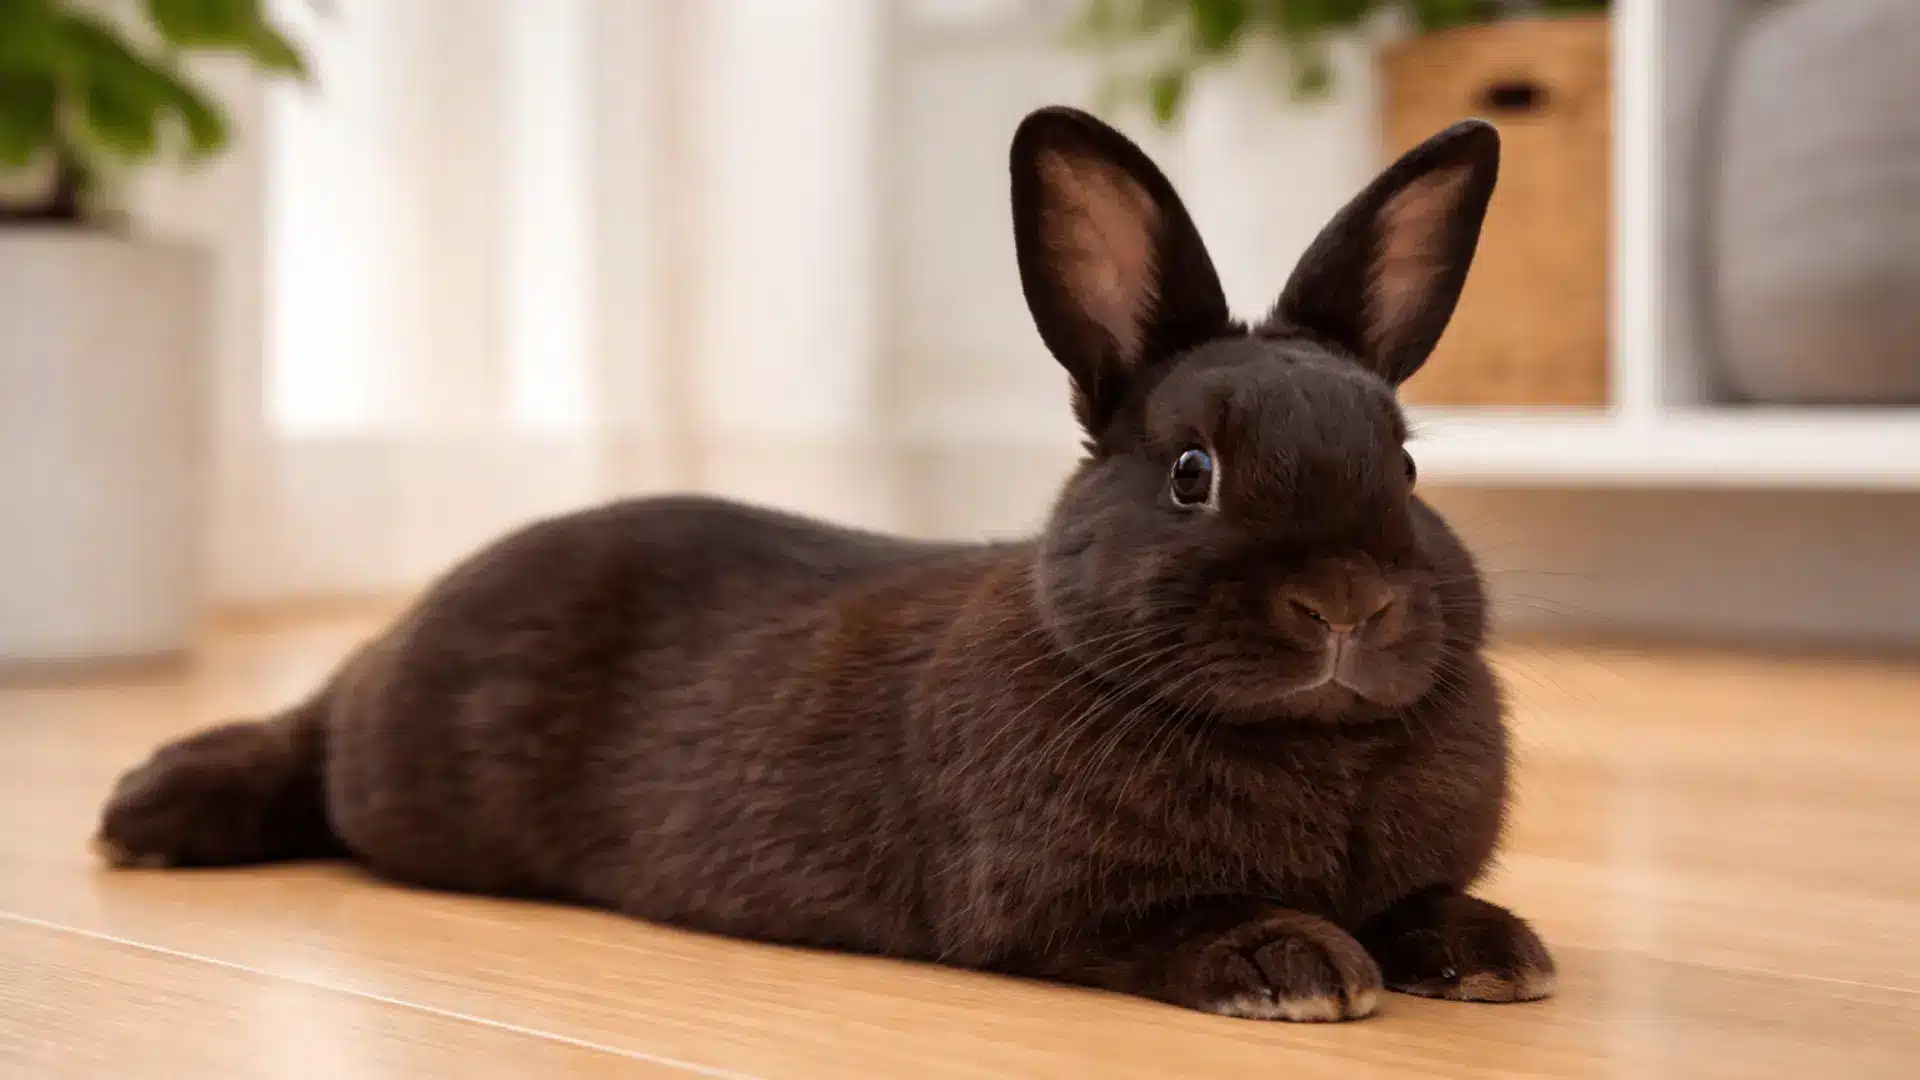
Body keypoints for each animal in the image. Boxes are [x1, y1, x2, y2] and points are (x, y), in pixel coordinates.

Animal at [96, 106, 1553, 1022]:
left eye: (1404, 468)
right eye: (1194, 473)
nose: (1347, 605)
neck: (1312, 744)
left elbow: (1428, 903)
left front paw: (1495, 953)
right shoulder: (1053, 907)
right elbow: (1171, 929)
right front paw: (1298, 962)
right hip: (406, 765)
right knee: (314, 740)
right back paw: (148, 815)